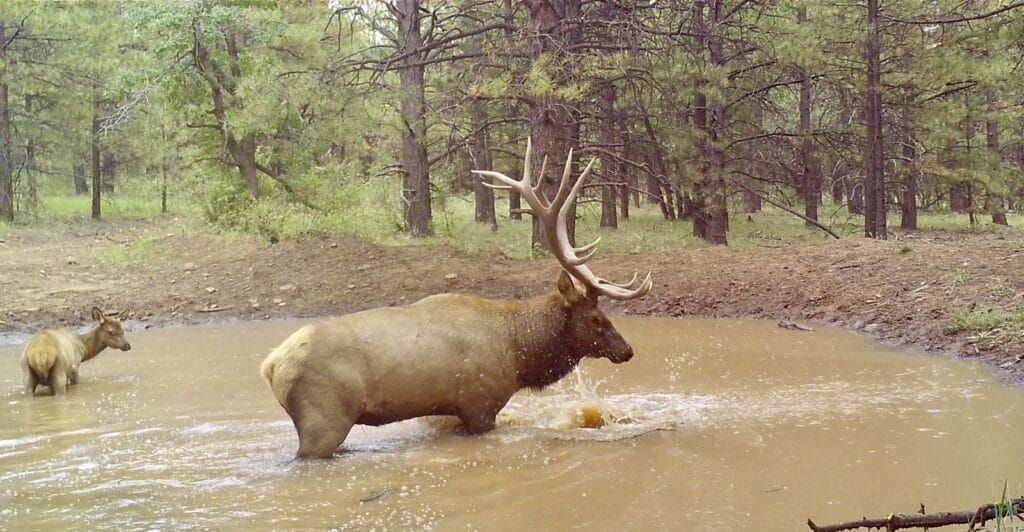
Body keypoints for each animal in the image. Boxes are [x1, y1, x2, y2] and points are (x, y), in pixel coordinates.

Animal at [260, 139, 652, 459]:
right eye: (597, 319)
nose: (628, 350)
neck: (517, 352)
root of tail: (271, 365)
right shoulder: (480, 404)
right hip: (324, 419)